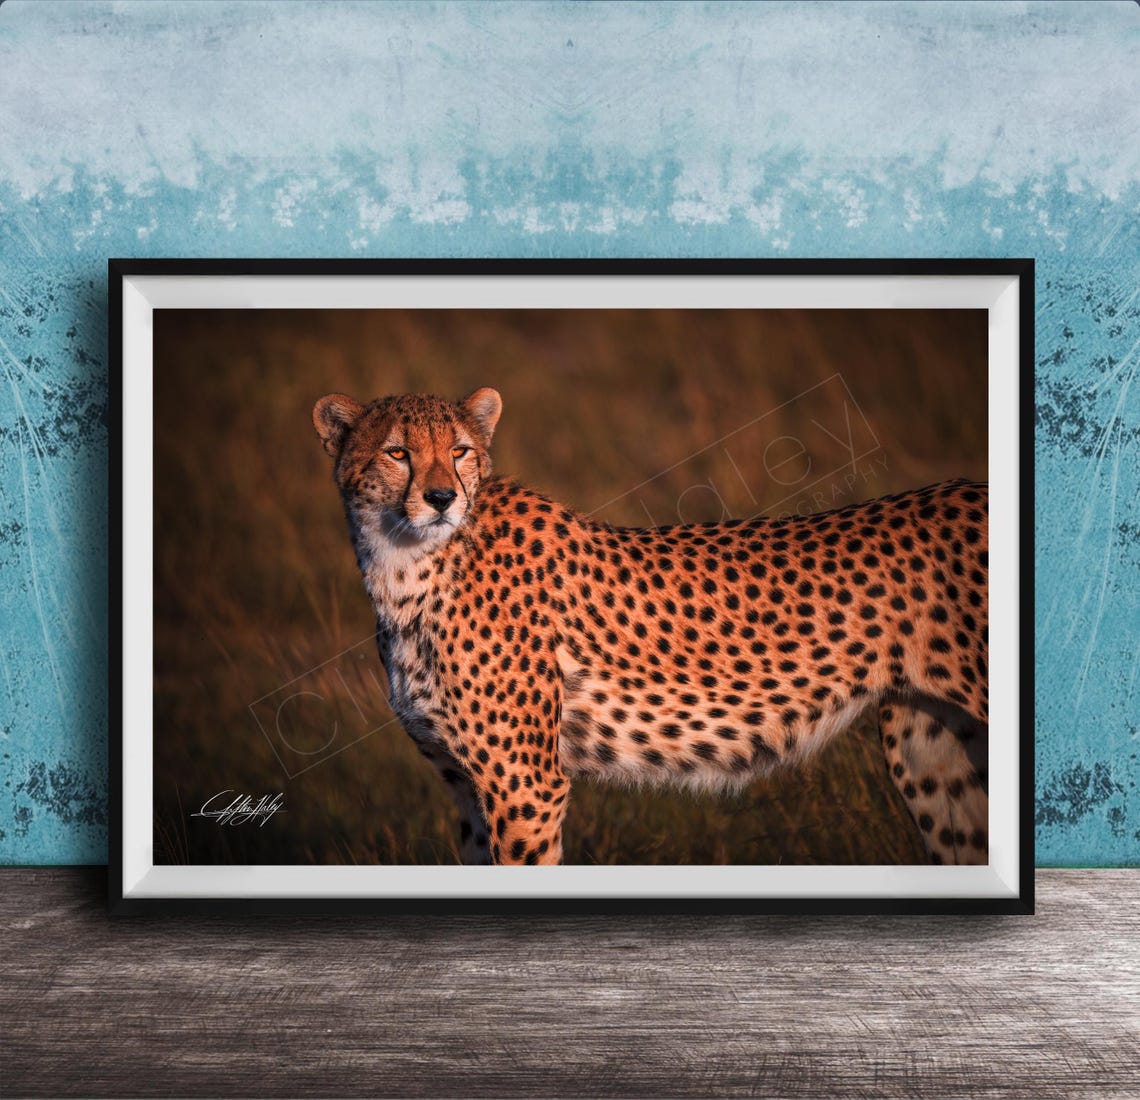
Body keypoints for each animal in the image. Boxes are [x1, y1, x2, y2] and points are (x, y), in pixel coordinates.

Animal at [313, 386, 989, 866]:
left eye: (459, 451)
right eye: (397, 452)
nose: (441, 498)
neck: (403, 566)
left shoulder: (525, 787)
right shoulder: (468, 789)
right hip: (933, 754)